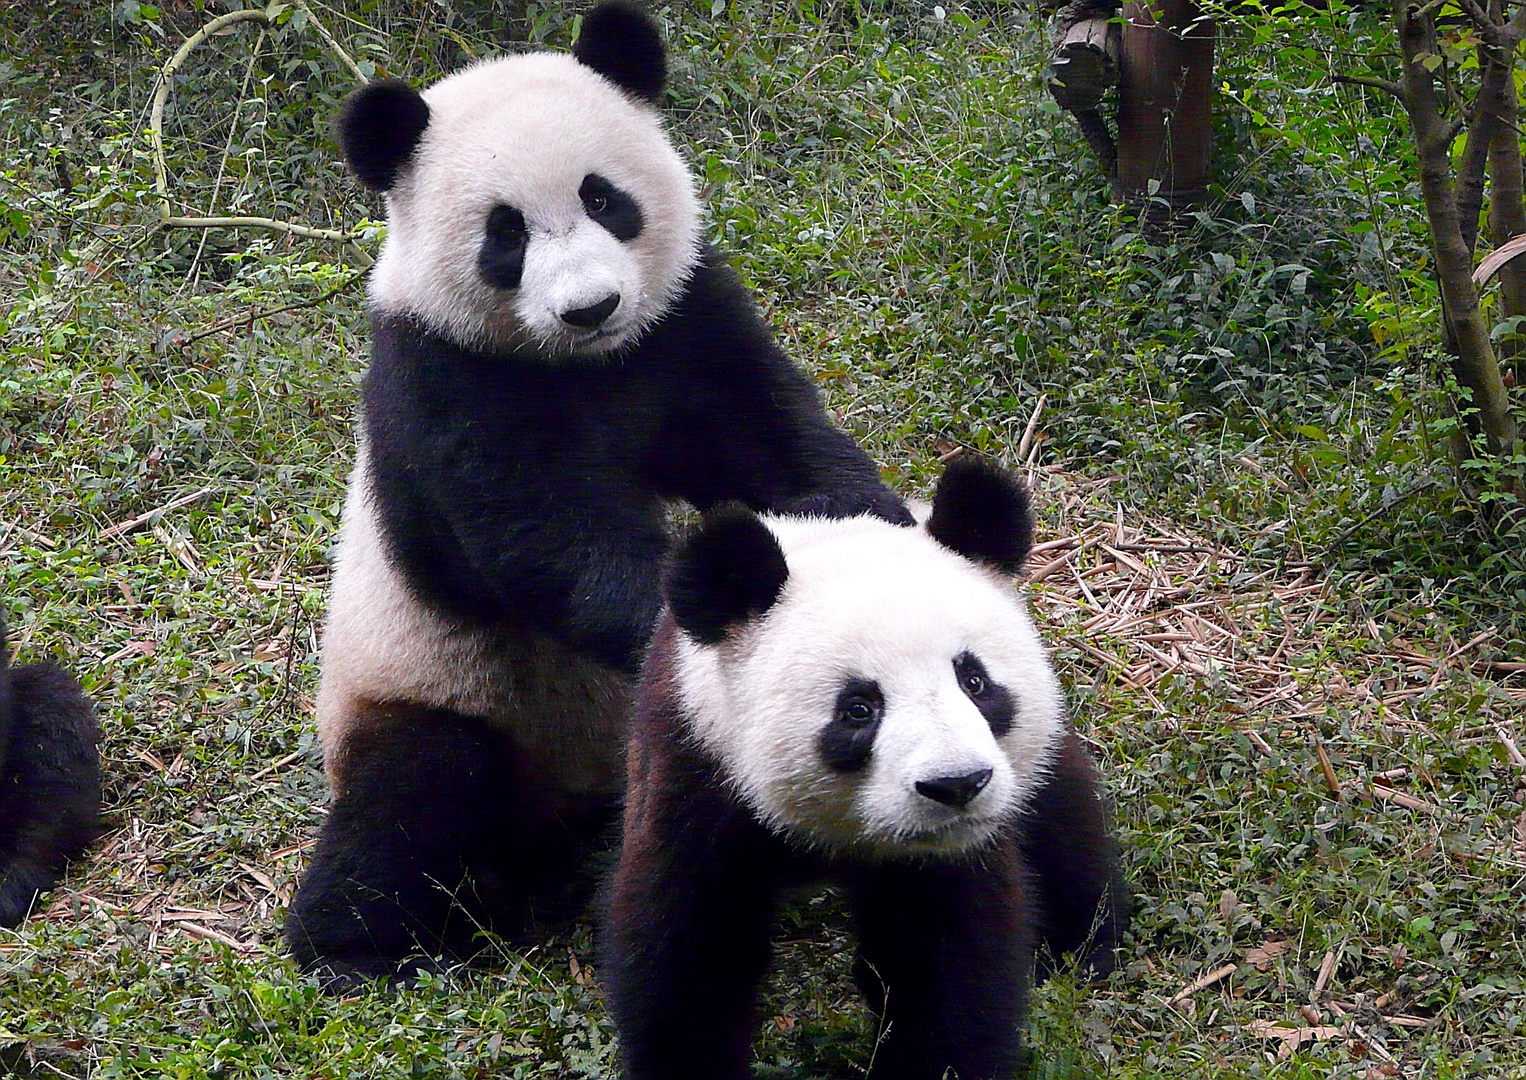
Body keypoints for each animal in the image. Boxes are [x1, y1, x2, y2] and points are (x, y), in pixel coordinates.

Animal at [286, 0, 1123, 988]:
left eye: (604, 198)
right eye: (505, 234)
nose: (590, 306)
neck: (584, 366)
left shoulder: (687, 320)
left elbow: (776, 442)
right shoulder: (441, 378)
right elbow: (536, 536)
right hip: (444, 686)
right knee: (417, 802)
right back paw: (360, 947)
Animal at [604, 460, 1123, 1080]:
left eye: (973, 680)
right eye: (859, 709)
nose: (957, 786)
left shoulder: (953, 852)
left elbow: (946, 964)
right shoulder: (697, 763)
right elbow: (689, 950)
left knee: (1064, 814)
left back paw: (1083, 945)